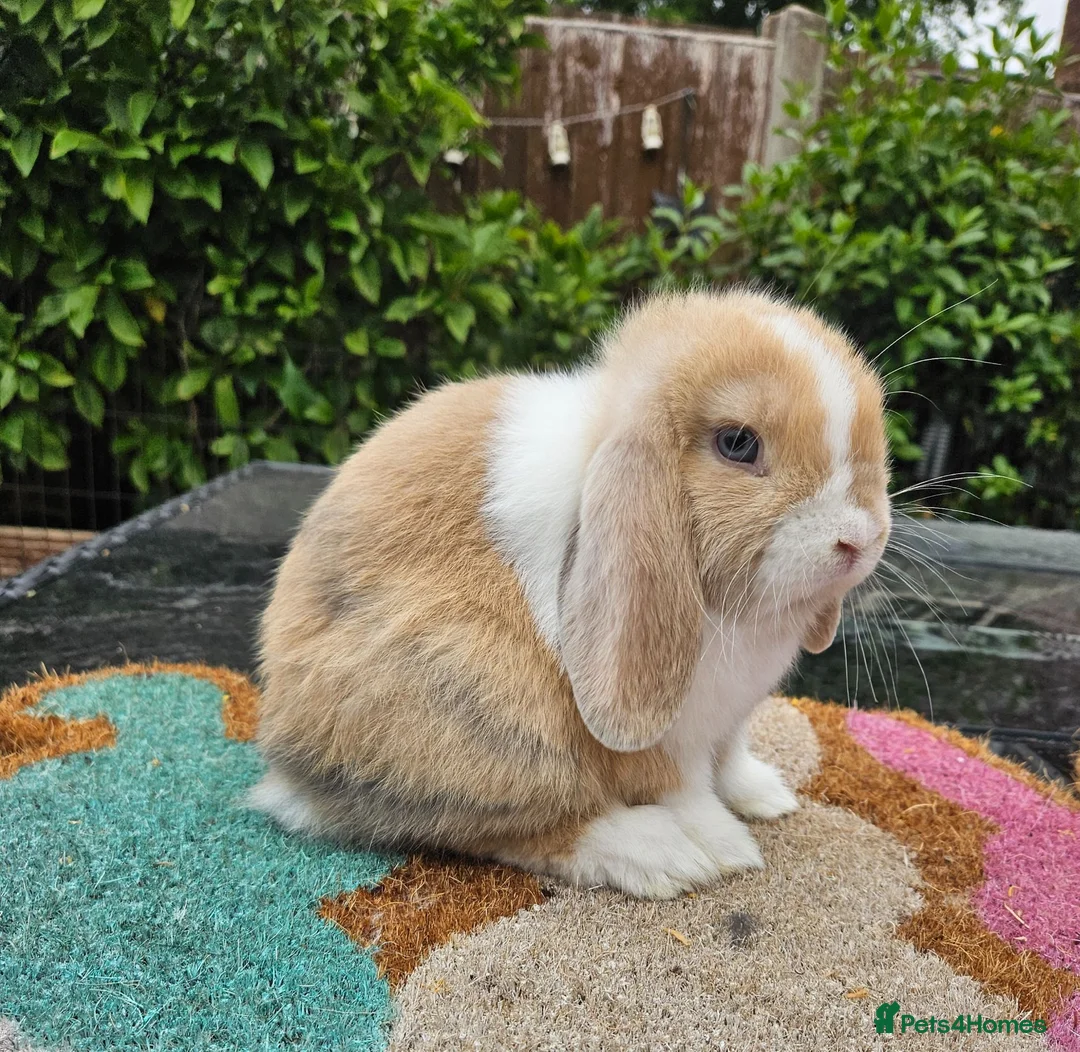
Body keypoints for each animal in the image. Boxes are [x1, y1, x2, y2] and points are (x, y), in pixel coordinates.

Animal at [250, 287, 891, 900]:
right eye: (737, 443)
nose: (858, 538)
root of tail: (286, 760)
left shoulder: (731, 718)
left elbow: (730, 759)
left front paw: (767, 797)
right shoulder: (665, 737)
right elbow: (686, 792)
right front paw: (728, 848)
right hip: (485, 712)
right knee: (506, 830)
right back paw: (661, 855)